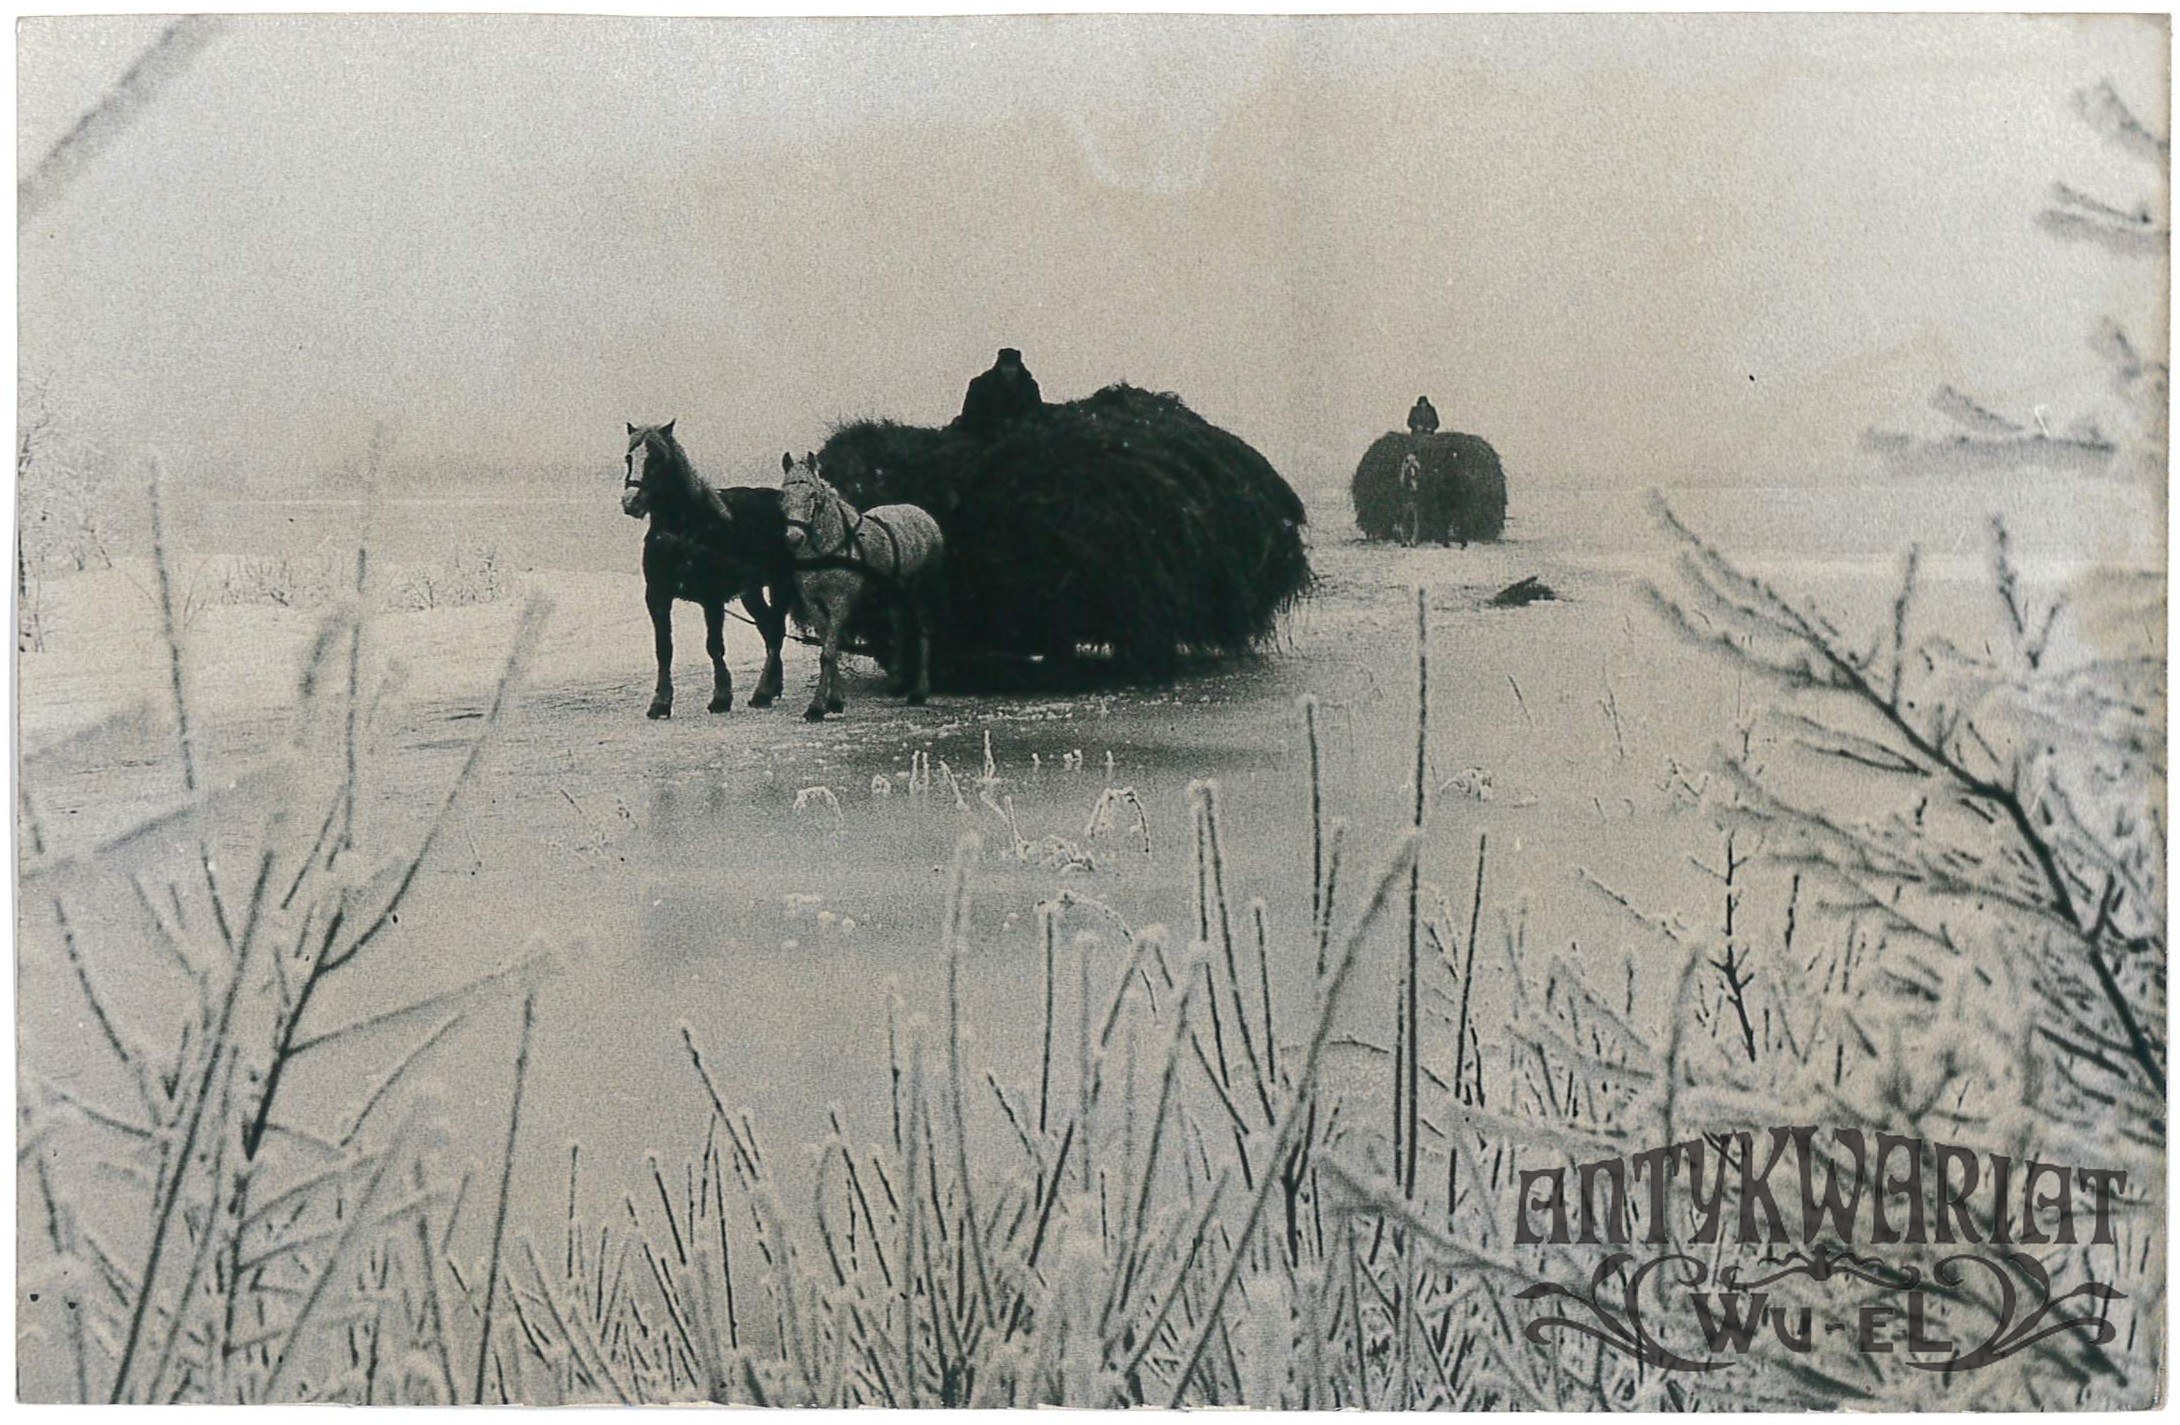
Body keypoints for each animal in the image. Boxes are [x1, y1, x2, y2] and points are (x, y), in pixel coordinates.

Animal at [621, 421, 796, 718]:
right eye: (629, 458)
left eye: (657, 459)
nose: (630, 501)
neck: (685, 530)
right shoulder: (657, 596)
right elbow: (664, 649)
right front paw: (660, 702)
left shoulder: (711, 597)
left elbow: (714, 646)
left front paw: (721, 697)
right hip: (751, 591)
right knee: (767, 627)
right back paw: (771, 687)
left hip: (780, 583)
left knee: (775, 631)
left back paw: (762, 692)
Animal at [778, 451, 945, 721]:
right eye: (783, 494)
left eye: (812, 494)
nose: (794, 538)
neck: (829, 545)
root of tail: (924, 516)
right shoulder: (813, 602)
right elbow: (829, 648)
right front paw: (834, 701)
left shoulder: (839, 601)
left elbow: (828, 653)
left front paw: (817, 707)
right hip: (892, 593)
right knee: (898, 628)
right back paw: (897, 683)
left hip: (920, 590)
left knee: (923, 631)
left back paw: (919, 691)